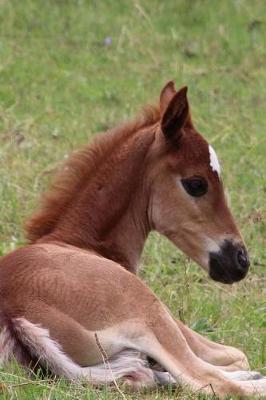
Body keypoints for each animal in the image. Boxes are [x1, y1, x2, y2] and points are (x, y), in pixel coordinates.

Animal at [0, 82, 266, 396]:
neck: (83, 242)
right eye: (196, 184)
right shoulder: (175, 324)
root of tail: (14, 315)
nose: (240, 260)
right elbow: (236, 357)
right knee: (206, 380)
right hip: (149, 314)